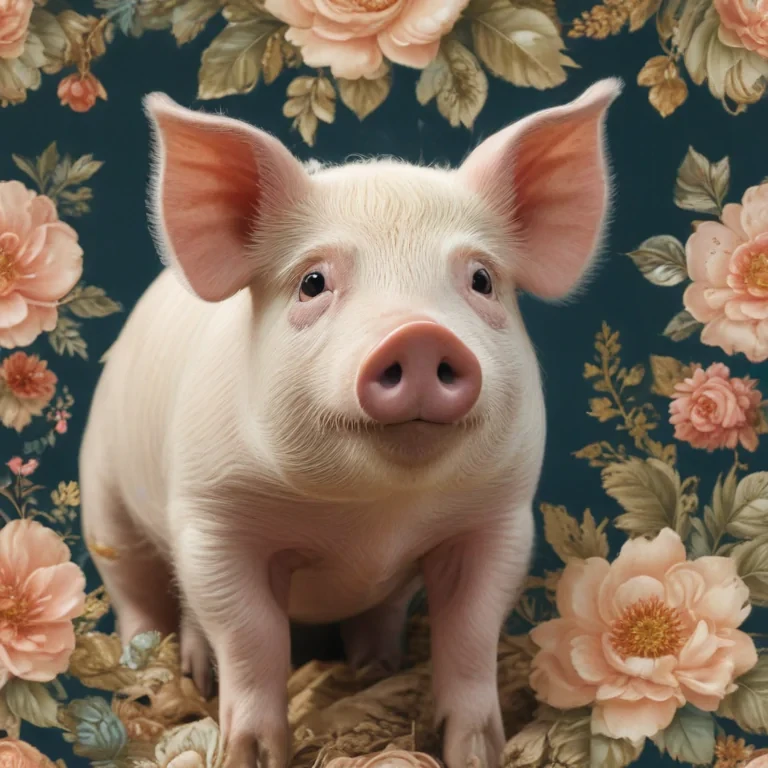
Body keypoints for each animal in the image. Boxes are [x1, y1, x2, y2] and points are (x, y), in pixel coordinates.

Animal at [79, 78, 621, 768]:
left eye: (481, 279)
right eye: (313, 281)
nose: (418, 334)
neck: (372, 519)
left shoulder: (500, 517)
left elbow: (471, 631)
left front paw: (475, 751)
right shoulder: (213, 518)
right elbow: (250, 634)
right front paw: (251, 755)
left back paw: (375, 669)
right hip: (105, 500)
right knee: (142, 600)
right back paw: (163, 688)